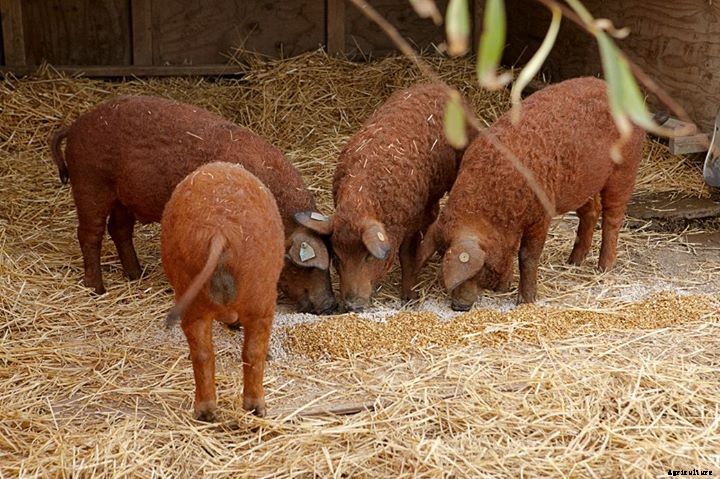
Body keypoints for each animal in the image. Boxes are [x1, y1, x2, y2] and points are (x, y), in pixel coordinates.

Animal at [50, 96, 335, 314]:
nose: (330, 306)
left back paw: (138, 275)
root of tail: (74, 127)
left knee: (119, 229)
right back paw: (97, 289)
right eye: (304, 265)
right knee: (90, 234)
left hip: (123, 197)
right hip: (90, 183)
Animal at [162, 162, 284, 421]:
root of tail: (220, 232)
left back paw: (206, 413)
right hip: (262, 297)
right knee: (253, 351)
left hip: (191, 295)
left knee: (203, 353)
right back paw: (257, 409)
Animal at [296, 83, 474, 312]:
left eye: (368, 256)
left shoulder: (411, 221)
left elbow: (407, 256)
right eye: (336, 257)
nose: (352, 306)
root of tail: (440, 86)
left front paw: (410, 299)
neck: (361, 203)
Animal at [417, 77, 645, 310]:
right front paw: (505, 288)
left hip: (624, 170)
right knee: (590, 213)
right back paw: (573, 262)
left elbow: (527, 256)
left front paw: (525, 301)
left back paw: (604, 268)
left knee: (612, 218)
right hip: (585, 183)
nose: (458, 306)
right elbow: (512, 250)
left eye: (478, 270)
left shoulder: (541, 215)